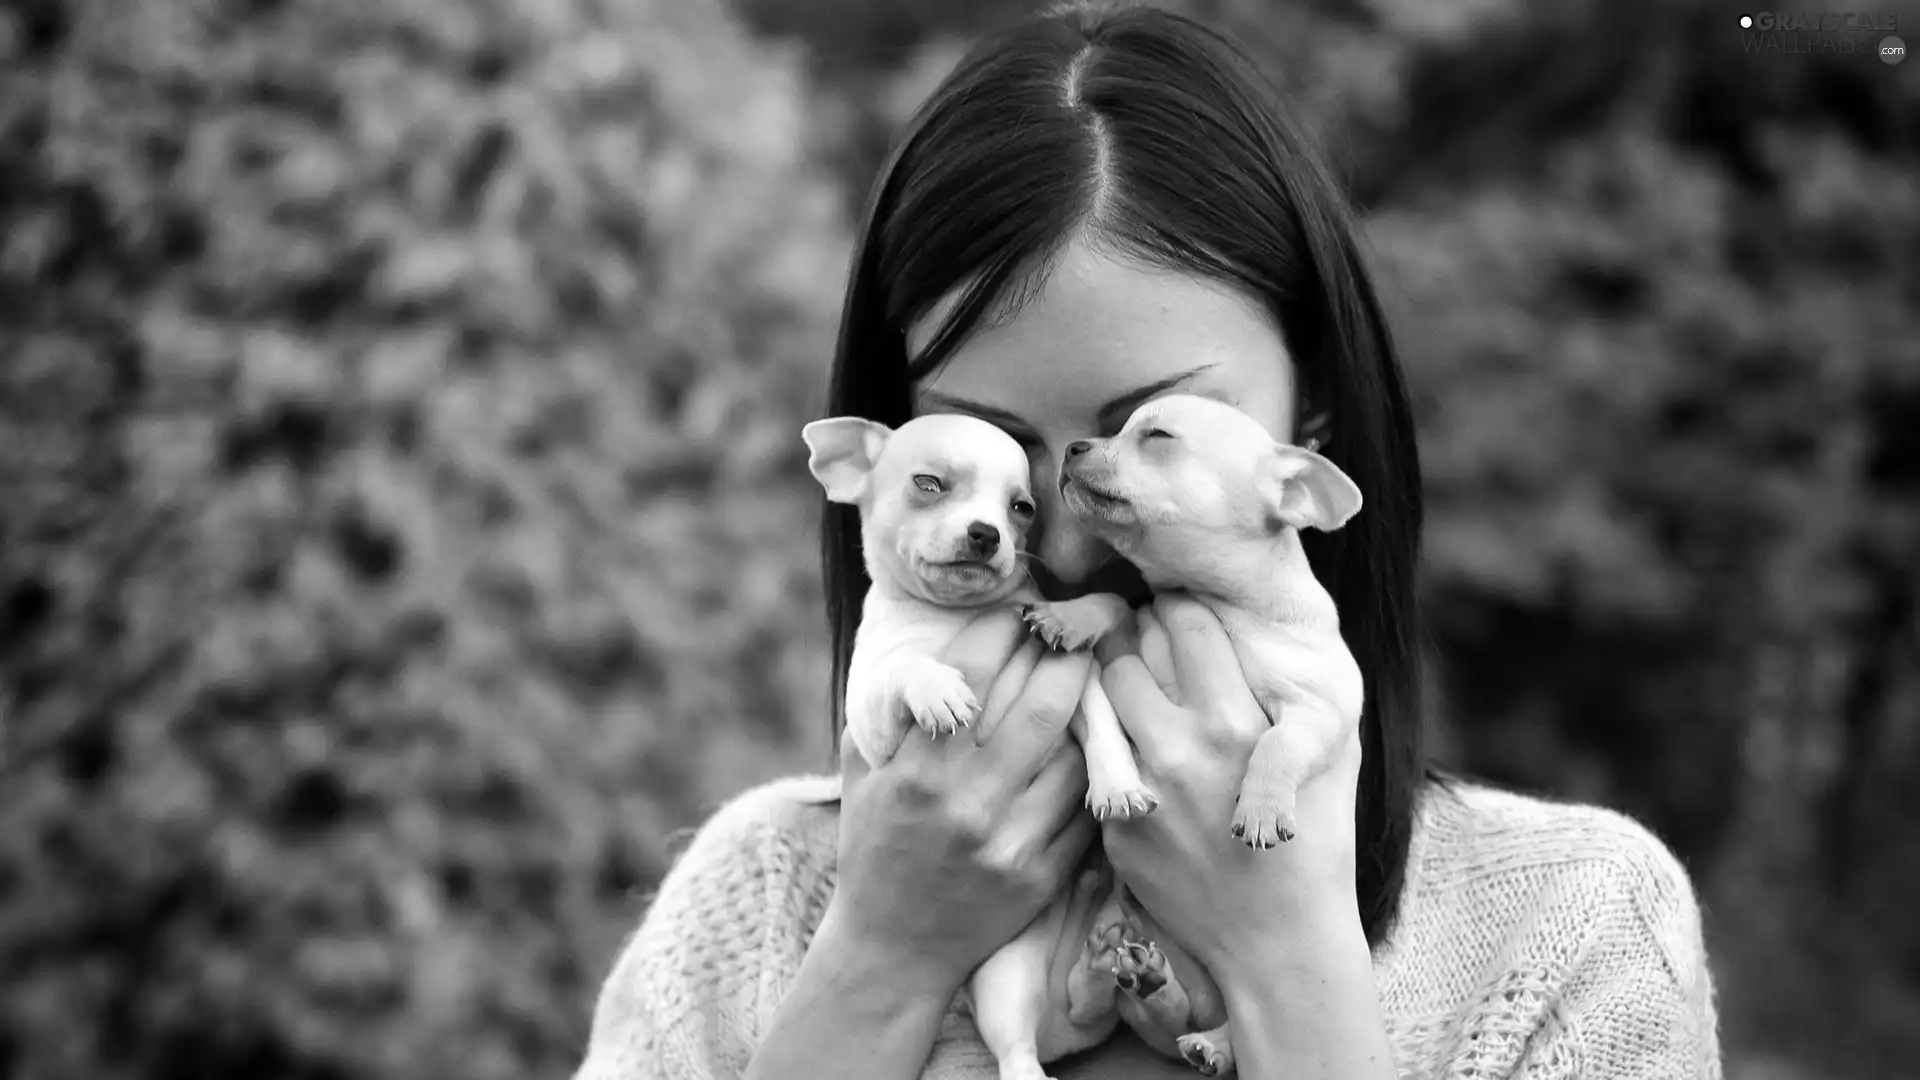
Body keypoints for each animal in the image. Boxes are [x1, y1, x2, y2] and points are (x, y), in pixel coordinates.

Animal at [798, 409, 1152, 1076]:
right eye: (928, 484)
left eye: (1022, 508)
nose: (986, 533)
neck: (952, 617)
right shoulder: (872, 711)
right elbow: (905, 667)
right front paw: (939, 687)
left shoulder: (1074, 677)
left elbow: (1102, 727)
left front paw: (1118, 786)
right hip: (1001, 975)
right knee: (1021, 1044)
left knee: (1071, 1014)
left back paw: (1103, 969)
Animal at [1052, 390, 1367, 1068]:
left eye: (1157, 437)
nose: (1072, 446)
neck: (1222, 601)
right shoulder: (1122, 640)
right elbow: (1112, 620)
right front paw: (1071, 614)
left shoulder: (1321, 712)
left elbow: (1277, 741)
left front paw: (1261, 806)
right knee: (1118, 1004)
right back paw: (1132, 977)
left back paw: (1211, 1042)